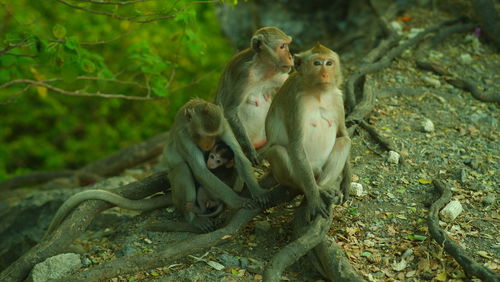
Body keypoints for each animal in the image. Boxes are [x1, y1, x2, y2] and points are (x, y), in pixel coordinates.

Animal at [215, 26, 292, 165]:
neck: (263, 69)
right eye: (282, 46)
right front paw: (250, 154)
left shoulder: (279, 74)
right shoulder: (244, 74)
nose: (290, 56)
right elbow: (230, 110)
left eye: (287, 45)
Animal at [262, 43, 352, 223]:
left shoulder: (337, 97)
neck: (319, 94)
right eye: (317, 63)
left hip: (319, 170)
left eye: (329, 63)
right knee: (277, 152)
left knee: (344, 142)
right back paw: (315, 190)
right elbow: (296, 145)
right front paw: (315, 199)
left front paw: (347, 180)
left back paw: (324, 186)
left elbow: (342, 134)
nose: (325, 74)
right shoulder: (297, 102)